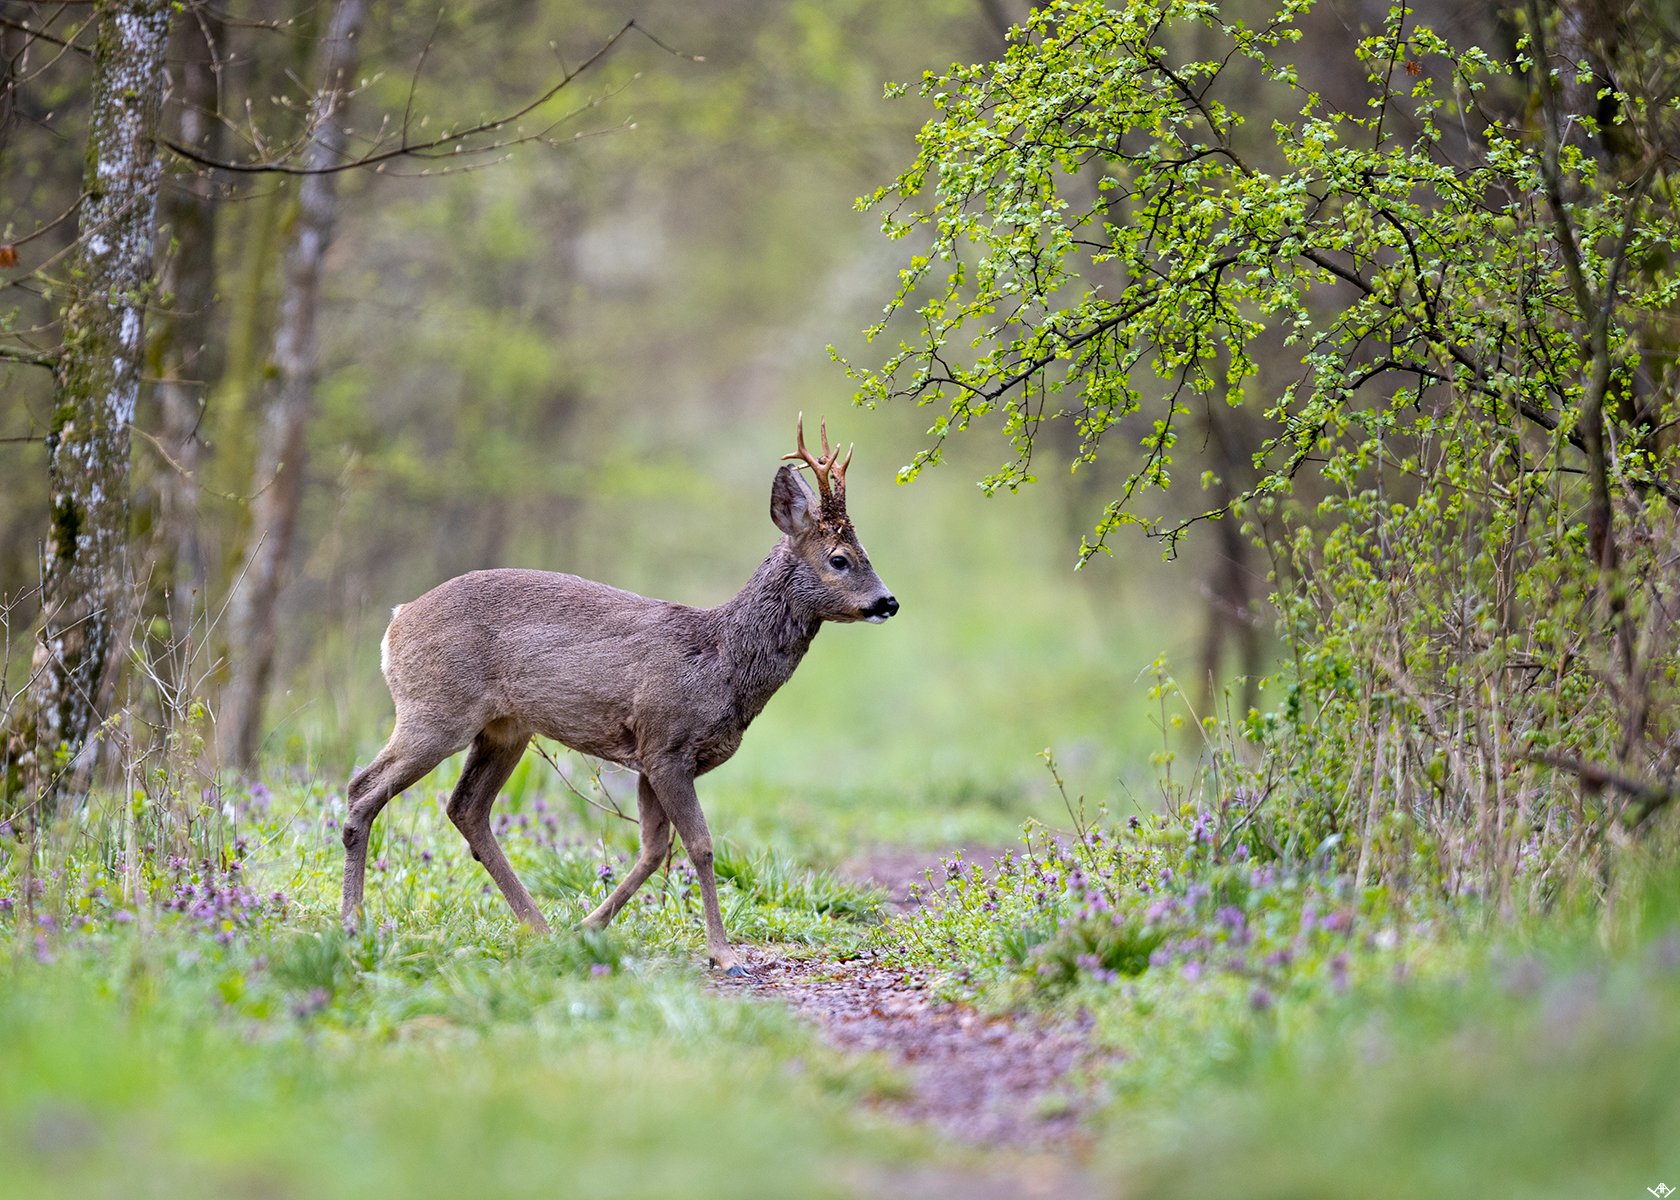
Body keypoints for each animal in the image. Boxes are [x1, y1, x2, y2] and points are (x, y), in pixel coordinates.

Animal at [340, 416, 897, 974]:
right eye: (840, 559)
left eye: (868, 553)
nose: (887, 602)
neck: (722, 661)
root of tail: (396, 621)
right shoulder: (666, 743)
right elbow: (699, 845)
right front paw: (724, 954)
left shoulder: (651, 758)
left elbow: (652, 849)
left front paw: (588, 927)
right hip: (436, 709)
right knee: (363, 787)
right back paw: (353, 923)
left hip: (504, 729)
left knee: (465, 808)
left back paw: (538, 927)